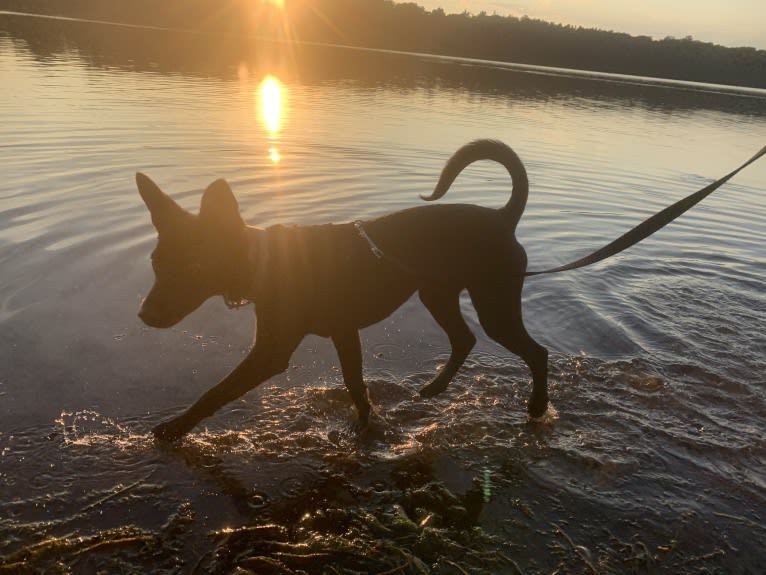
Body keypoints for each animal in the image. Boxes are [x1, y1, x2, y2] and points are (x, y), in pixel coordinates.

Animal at [138, 140, 552, 440]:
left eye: (195, 268)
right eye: (156, 262)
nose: (145, 315)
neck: (265, 259)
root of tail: (503, 216)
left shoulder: (272, 353)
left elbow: (217, 391)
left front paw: (175, 427)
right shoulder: (344, 332)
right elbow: (355, 385)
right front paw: (366, 426)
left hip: (494, 303)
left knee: (537, 352)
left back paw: (537, 407)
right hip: (437, 294)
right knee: (465, 339)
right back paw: (435, 388)